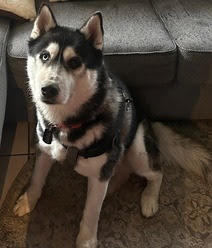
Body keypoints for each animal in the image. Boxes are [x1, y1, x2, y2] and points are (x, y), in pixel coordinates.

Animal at [14, 4, 211, 248]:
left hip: (137, 152)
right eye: (44, 56)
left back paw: (149, 199)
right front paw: (27, 201)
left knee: (157, 172)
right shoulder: (44, 149)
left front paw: (86, 240)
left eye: (74, 62)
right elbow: (36, 179)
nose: (48, 90)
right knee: (116, 174)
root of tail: (146, 118)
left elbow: (91, 212)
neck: (66, 123)